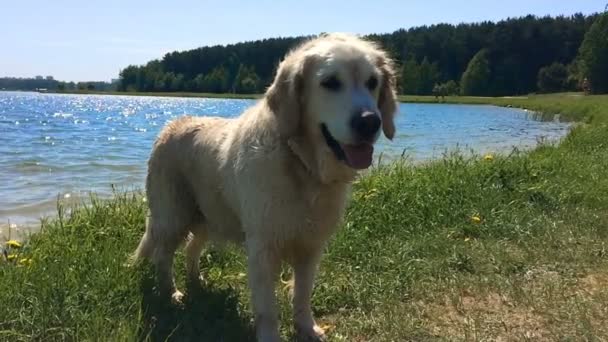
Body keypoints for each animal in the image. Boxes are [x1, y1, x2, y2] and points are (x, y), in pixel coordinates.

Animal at [133, 32, 400, 342]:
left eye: (372, 82)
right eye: (330, 82)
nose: (370, 122)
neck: (301, 164)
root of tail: (173, 124)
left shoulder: (310, 246)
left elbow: (302, 294)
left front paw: (307, 328)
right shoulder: (263, 248)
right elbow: (268, 308)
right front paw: (272, 335)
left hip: (209, 215)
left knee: (191, 247)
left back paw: (196, 281)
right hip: (173, 215)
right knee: (163, 256)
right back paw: (172, 294)